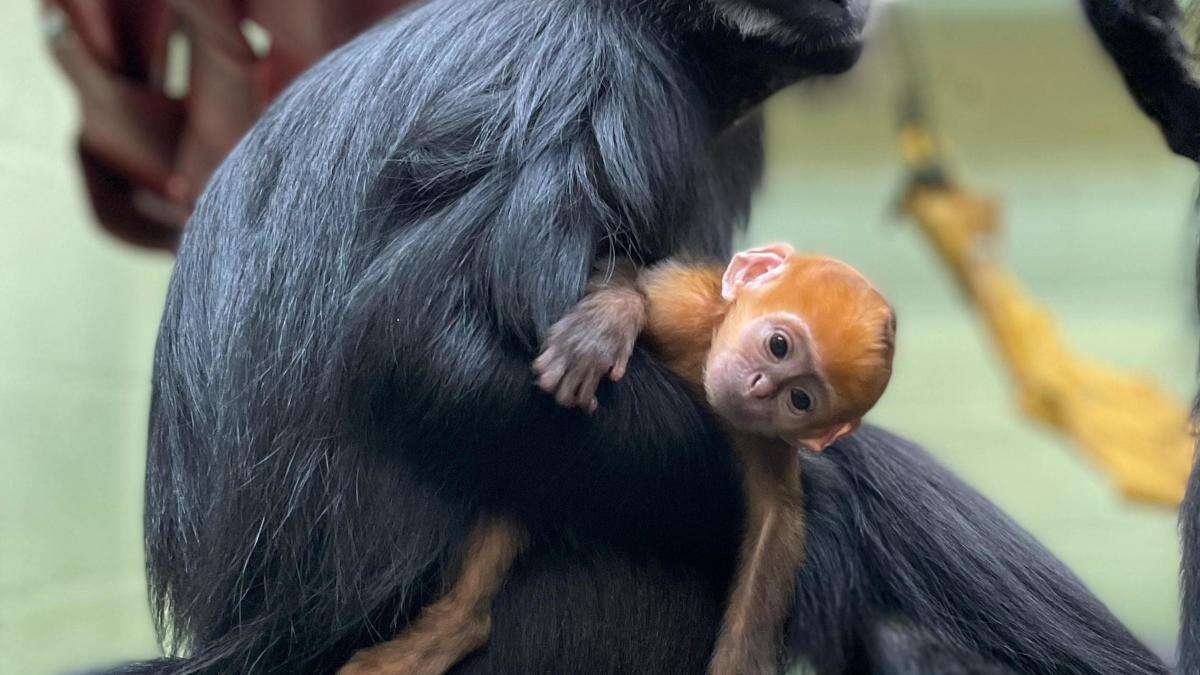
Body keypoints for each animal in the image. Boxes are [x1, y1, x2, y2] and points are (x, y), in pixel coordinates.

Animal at [338, 242, 892, 672]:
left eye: (799, 400)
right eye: (778, 345)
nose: (759, 388)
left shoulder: (763, 440)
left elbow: (773, 536)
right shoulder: (683, 304)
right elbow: (626, 275)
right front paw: (608, 322)